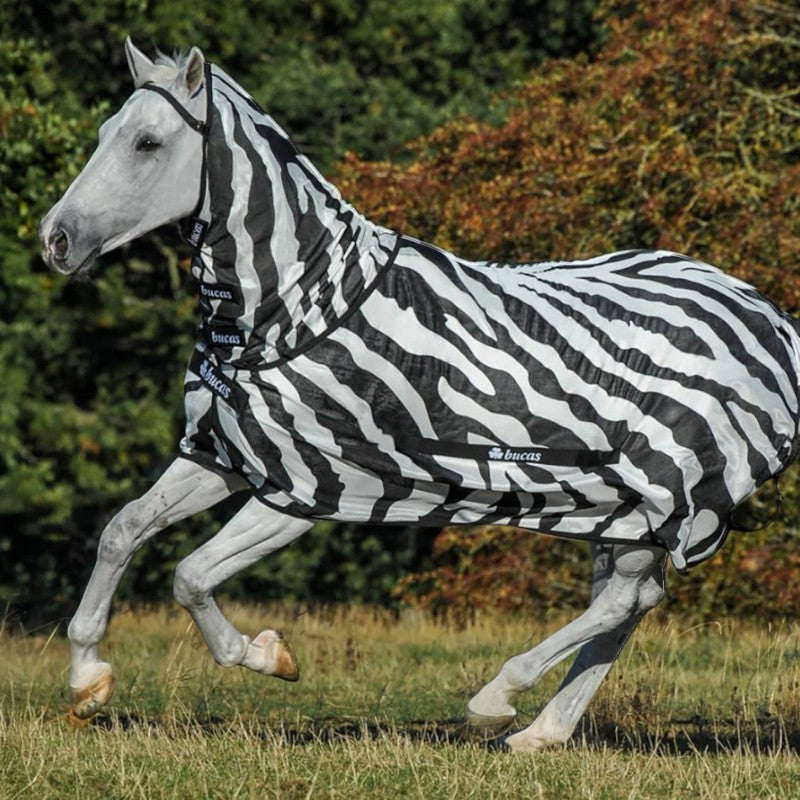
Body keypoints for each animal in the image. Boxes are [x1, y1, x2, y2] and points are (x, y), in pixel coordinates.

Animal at [39, 39, 800, 752]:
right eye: (107, 130)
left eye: (147, 143)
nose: (56, 240)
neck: (294, 304)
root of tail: (769, 317)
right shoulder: (224, 455)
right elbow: (123, 531)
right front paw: (87, 683)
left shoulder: (309, 486)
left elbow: (190, 576)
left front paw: (269, 655)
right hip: (622, 507)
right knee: (633, 599)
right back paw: (539, 733)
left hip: (667, 493)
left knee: (622, 600)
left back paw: (497, 698)